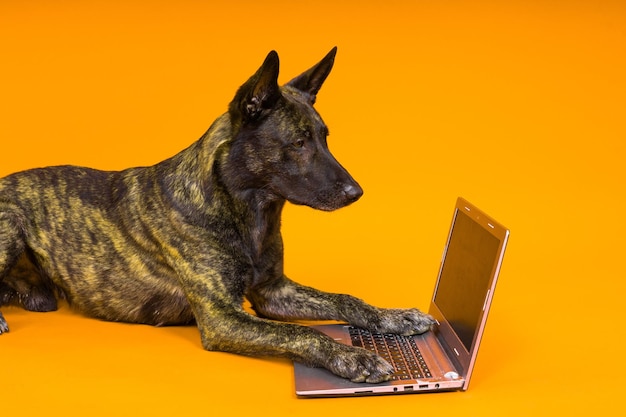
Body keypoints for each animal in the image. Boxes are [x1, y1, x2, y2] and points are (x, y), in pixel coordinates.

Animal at [0, 47, 434, 382]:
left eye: (325, 138)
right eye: (298, 143)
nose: (356, 193)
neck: (248, 209)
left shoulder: (274, 291)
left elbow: (346, 300)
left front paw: (395, 317)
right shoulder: (222, 318)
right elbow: (302, 334)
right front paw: (354, 357)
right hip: (10, 223)